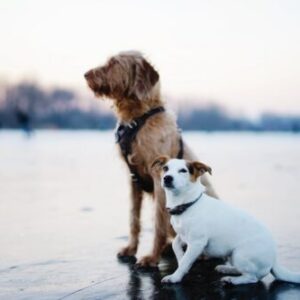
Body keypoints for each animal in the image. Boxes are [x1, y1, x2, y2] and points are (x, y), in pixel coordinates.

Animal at [84, 51, 218, 268]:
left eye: (114, 63)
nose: (86, 74)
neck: (138, 117)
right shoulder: (133, 180)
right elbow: (134, 219)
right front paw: (131, 249)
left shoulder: (159, 180)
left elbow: (158, 222)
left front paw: (152, 257)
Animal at [152, 156, 300, 284]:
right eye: (165, 168)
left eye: (183, 170)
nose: (167, 178)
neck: (188, 205)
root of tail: (274, 260)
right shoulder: (183, 235)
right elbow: (175, 245)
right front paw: (181, 257)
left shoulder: (197, 242)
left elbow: (184, 262)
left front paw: (175, 277)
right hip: (232, 255)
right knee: (243, 271)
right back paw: (227, 268)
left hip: (240, 254)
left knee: (252, 277)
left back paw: (232, 280)